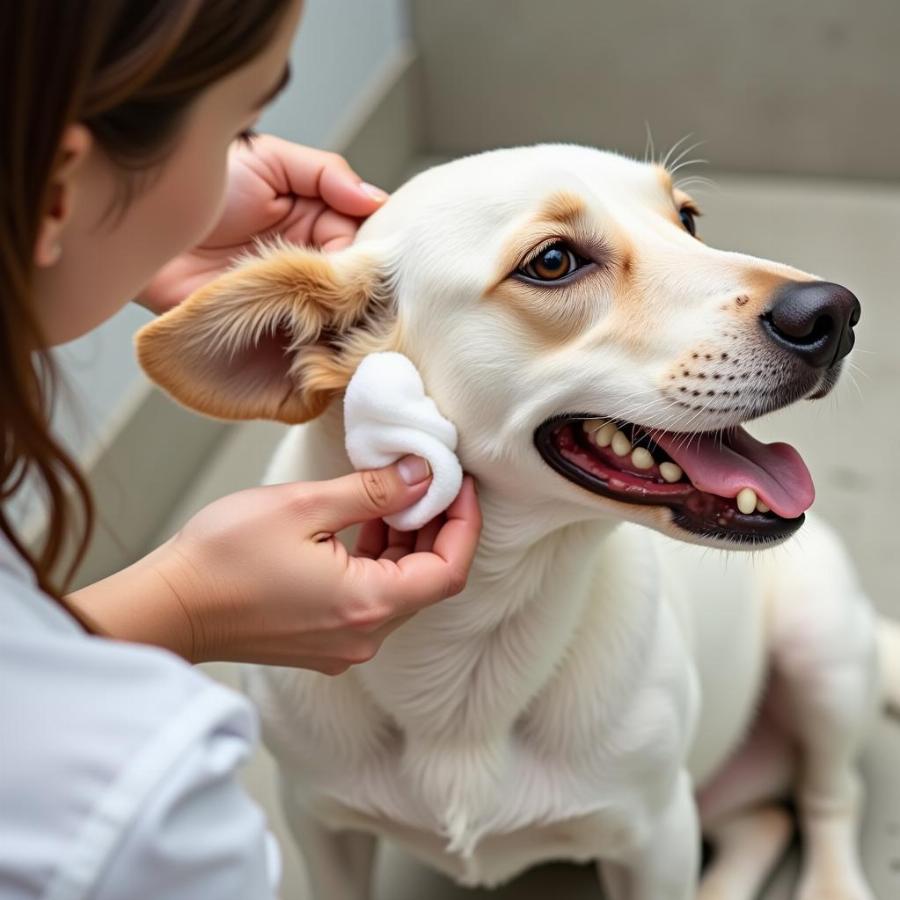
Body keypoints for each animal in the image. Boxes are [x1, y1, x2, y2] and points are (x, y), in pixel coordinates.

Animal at [135, 144, 900, 896]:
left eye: (686, 219)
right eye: (553, 262)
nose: (834, 313)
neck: (474, 645)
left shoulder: (655, 834)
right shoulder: (319, 821)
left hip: (821, 651)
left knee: (831, 796)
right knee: (764, 821)